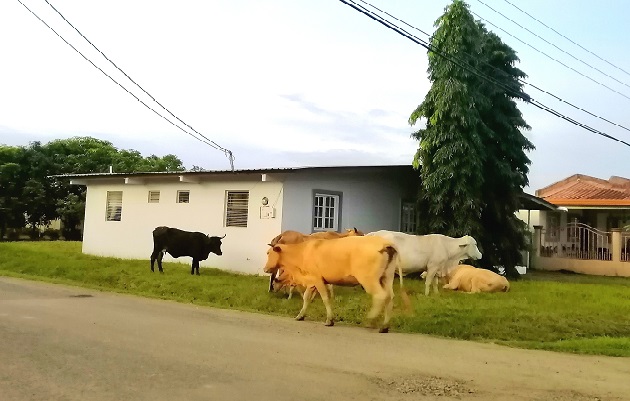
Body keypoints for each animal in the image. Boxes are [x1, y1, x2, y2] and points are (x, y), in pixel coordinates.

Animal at [262, 236, 402, 332]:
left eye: (268, 252)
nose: (265, 269)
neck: (301, 252)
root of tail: (385, 243)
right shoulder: (312, 281)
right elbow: (306, 298)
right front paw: (300, 315)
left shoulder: (317, 280)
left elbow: (325, 298)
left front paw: (329, 320)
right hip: (387, 278)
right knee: (390, 297)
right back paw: (384, 326)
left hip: (369, 279)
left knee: (380, 296)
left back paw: (370, 320)